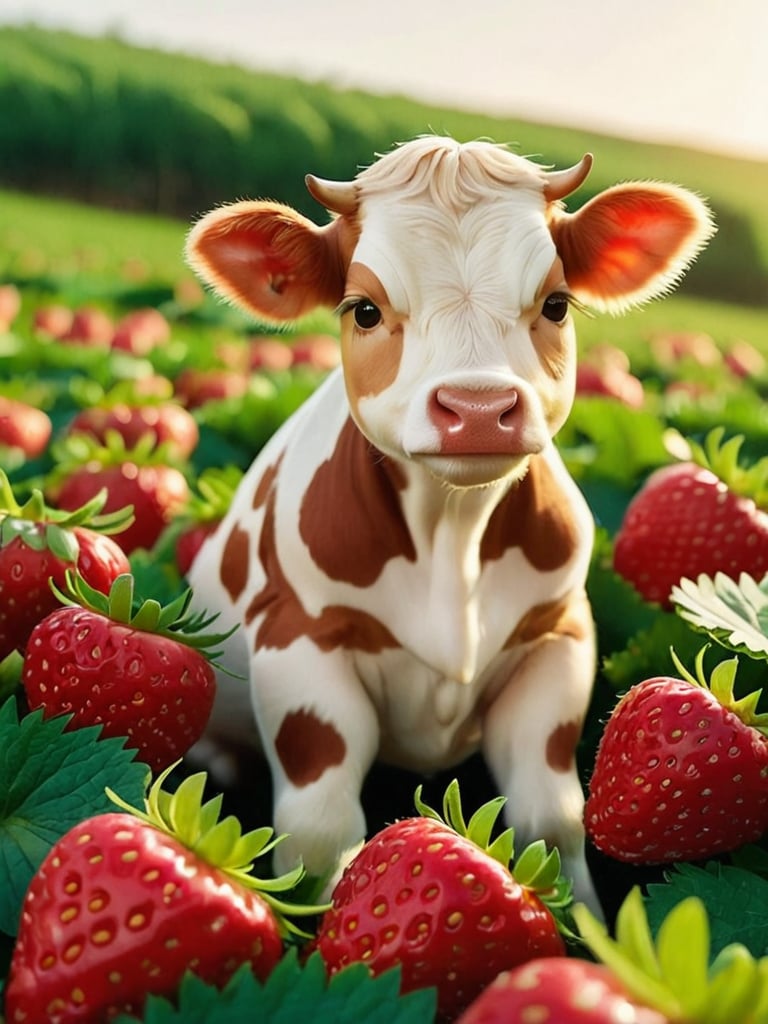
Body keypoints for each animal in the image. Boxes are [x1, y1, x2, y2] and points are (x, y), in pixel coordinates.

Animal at [185, 134, 716, 905]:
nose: (477, 408)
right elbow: (319, 826)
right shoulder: (299, 639)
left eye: (556, 304)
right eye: (363, 310)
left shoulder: (559, 635)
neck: (452, 531)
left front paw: (581, 921)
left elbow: (551, 817)